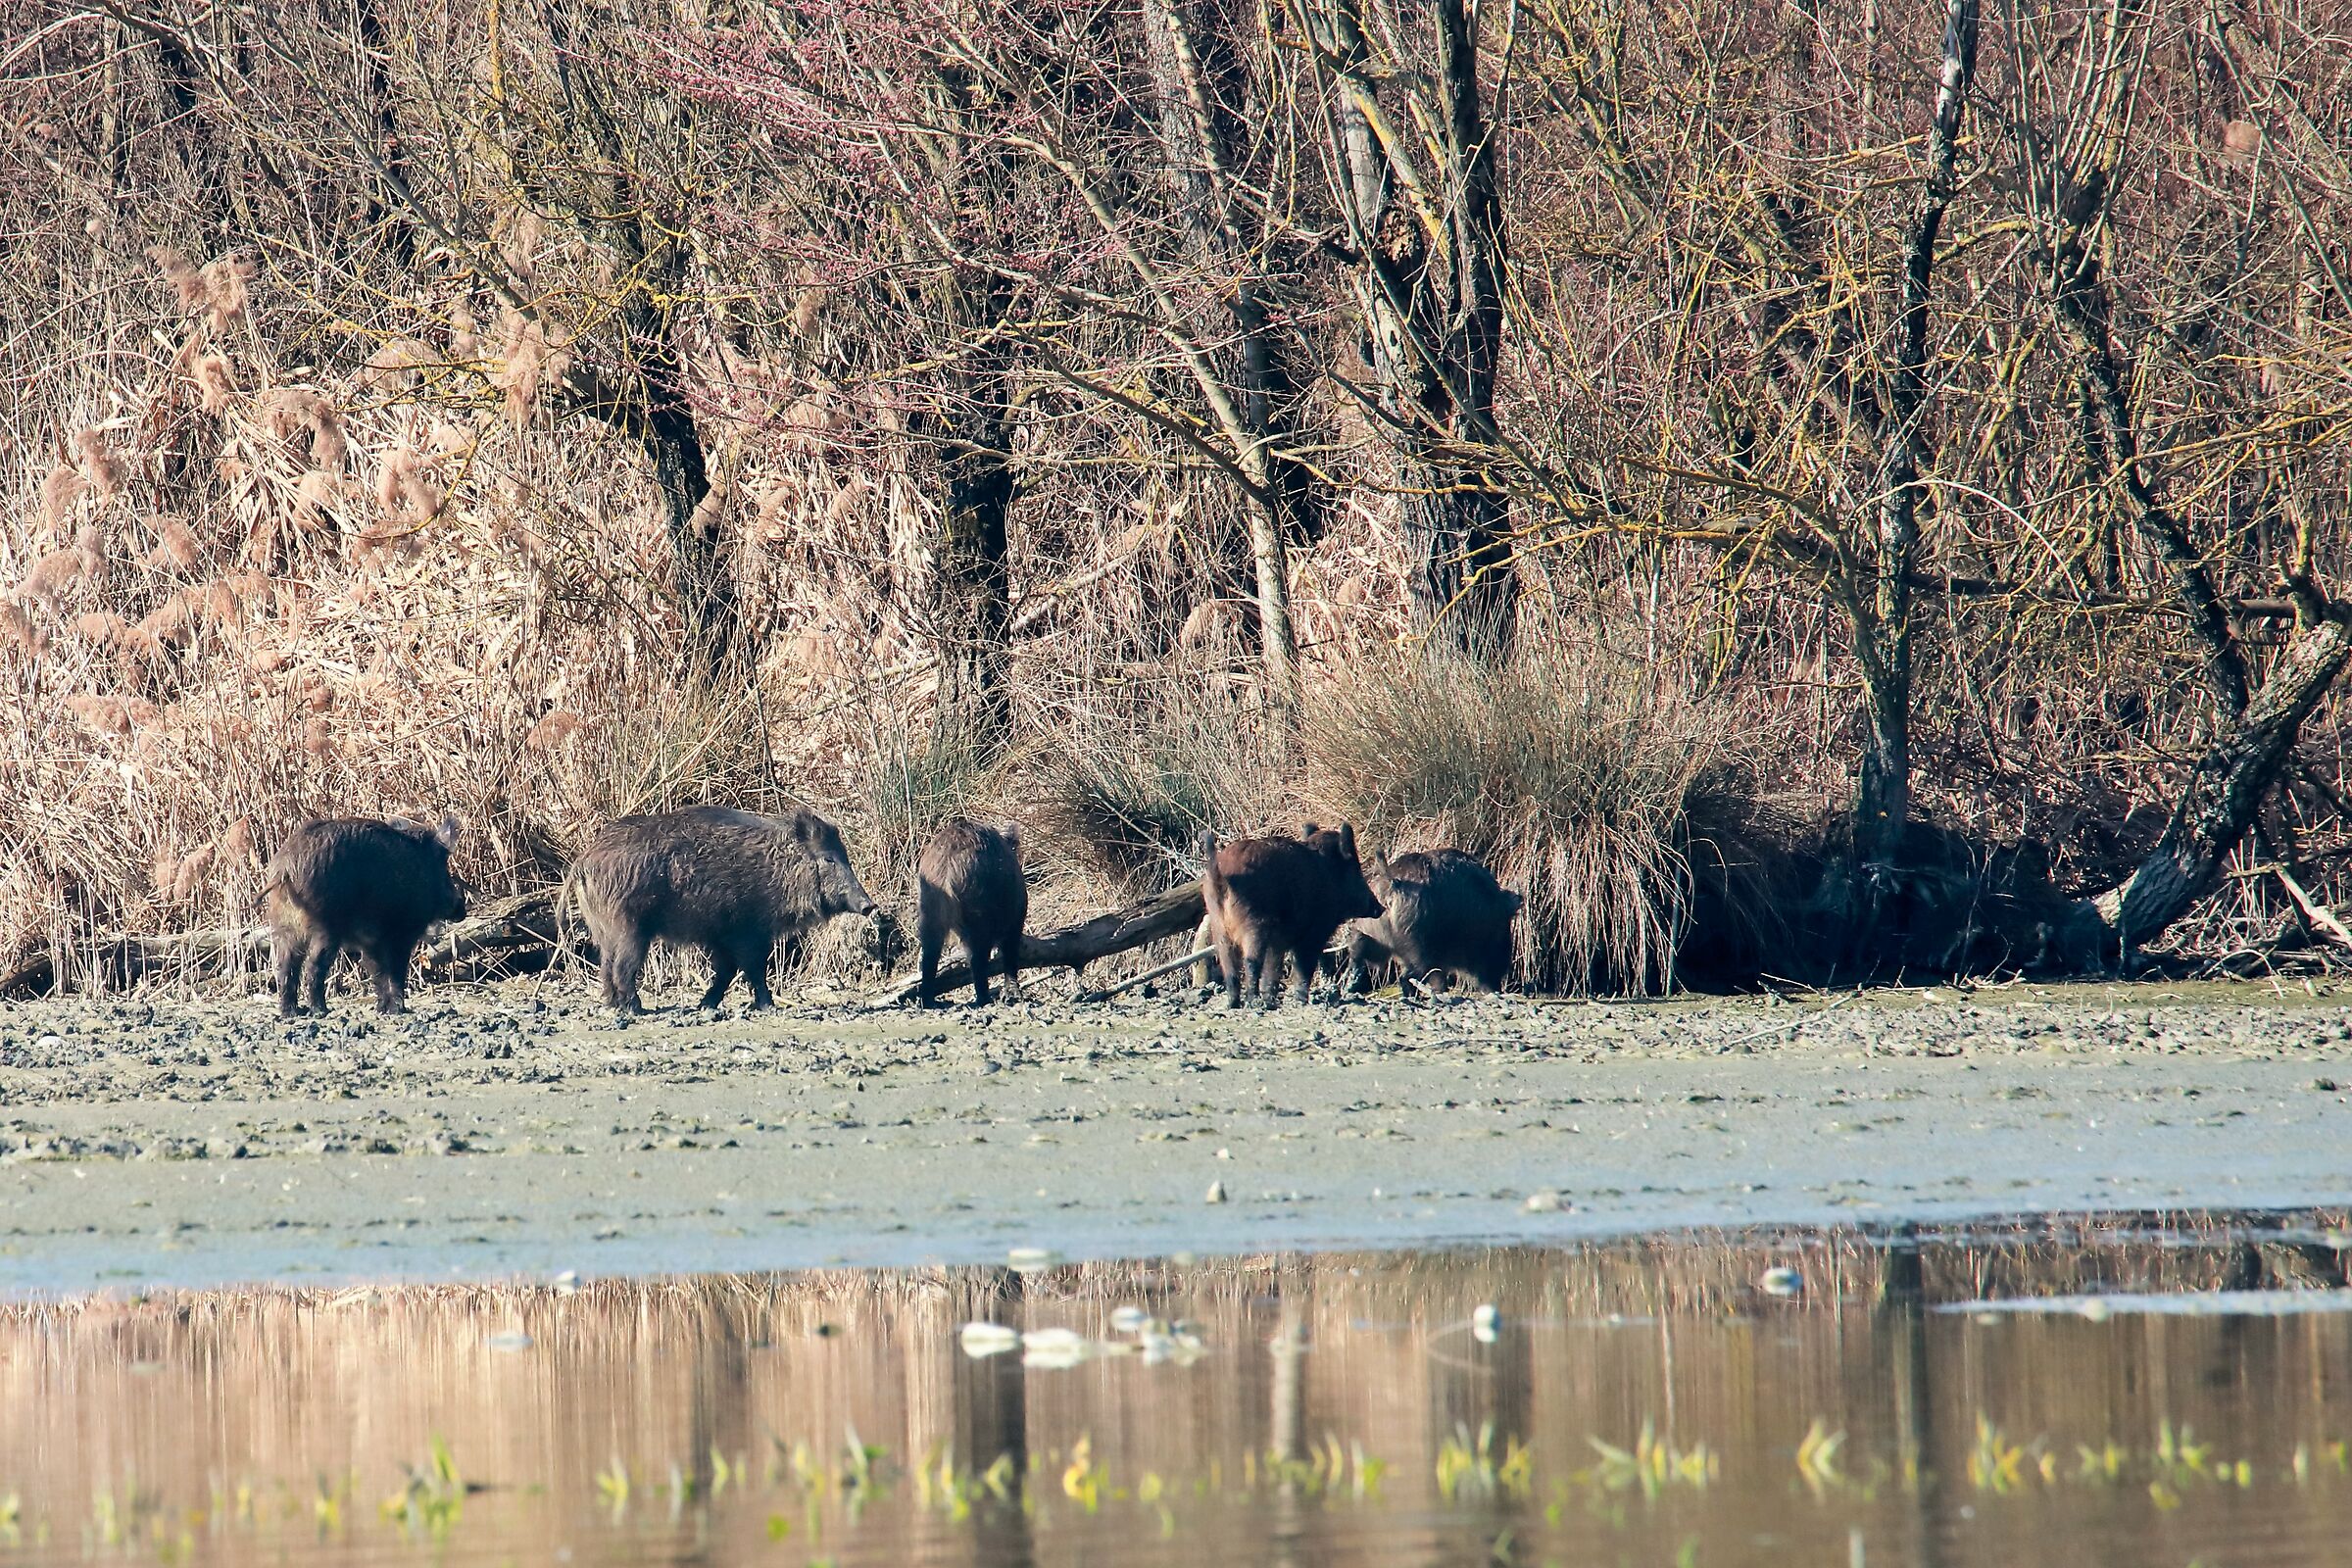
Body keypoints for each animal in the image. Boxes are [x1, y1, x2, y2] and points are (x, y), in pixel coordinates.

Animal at [264, 814, 467, 1017]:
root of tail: (286, 868)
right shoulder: (402, 933)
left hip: (286, 926)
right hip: (325, 927)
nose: (462, 911)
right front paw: (399, 1009)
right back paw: (321, 1010)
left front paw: (383, 1009)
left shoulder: (371, 941)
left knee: (285, 967)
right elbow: (395, 971)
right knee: (313, 966)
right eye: (443, 866)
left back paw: (291, 1012)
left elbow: (376, 970)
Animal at [571, 804, 876, 1013]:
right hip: (629, 928)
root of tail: (583, 862)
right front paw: (768, 1006)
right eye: (829, 859)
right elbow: (753, 968)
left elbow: (728, 970)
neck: (778, 868)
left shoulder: (722, 935)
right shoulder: (748, 930)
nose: (870, 906)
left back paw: (614, 1005)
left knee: (605, 965)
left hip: (604, 929)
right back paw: (635, 1007)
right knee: (622, 966)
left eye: (845, 857)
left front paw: (705, 1004)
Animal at [914, 818, 1026, 1006]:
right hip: (977, 909)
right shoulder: (1015, 917)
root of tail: (947, 868)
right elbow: (1010, 953)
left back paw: (929, 1000)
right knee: (977, 956)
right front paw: (1013, 994)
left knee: (929, 951)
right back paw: (985, 998)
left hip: (929, 907)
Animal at [1198, 822, 1383, 1008]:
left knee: (1229, 965)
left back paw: (1234, 1003)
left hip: (1218, 924)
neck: (1330, 876)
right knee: (1250, 960)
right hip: (1254, 923)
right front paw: (1302, 1000)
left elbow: (1273, 966)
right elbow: (1302, 965)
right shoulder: (1315, 931)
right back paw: (1253, 1001)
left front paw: (1271, 1000)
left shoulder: (1279, 940)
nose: (1380, 908)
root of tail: (1220, 874)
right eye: (1357, 870)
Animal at [1343, 848, 1522, 994]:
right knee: (1418, 975)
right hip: (1417, 945)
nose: (1497, 988)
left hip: (1365, 935)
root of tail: (1391, 883)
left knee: (1356, 963)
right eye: (1504, 930)